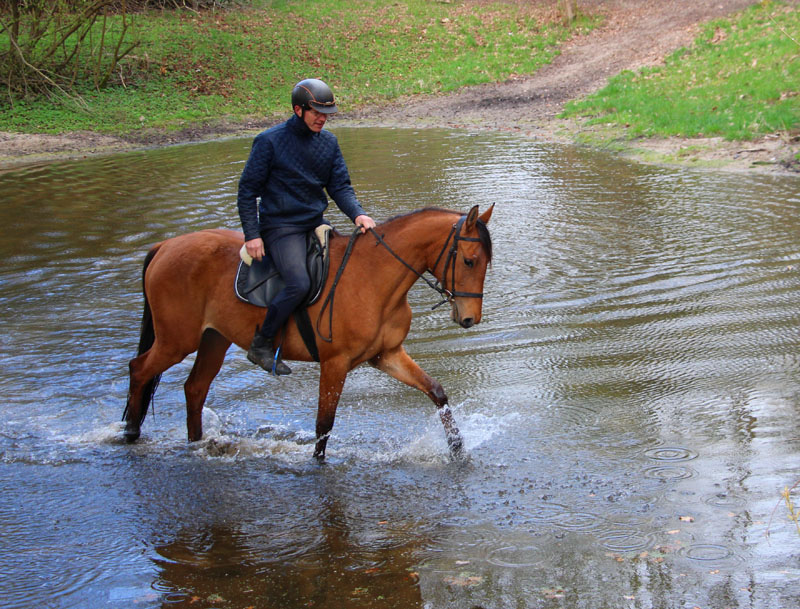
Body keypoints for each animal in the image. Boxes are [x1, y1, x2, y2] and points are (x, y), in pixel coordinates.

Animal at [122, 204, 494, 460]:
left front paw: (457, 449)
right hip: (176, 341)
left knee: (195, 388)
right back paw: (130, 434)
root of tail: (165, 246)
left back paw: (196, 442)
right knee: (139, 369)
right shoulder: (335, 364)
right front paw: (318, 464)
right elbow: (323, 425)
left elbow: (436, 392)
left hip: (214, 338)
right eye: (470, 261)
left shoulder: (386, 355)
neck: (374, 277)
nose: (469, 319)